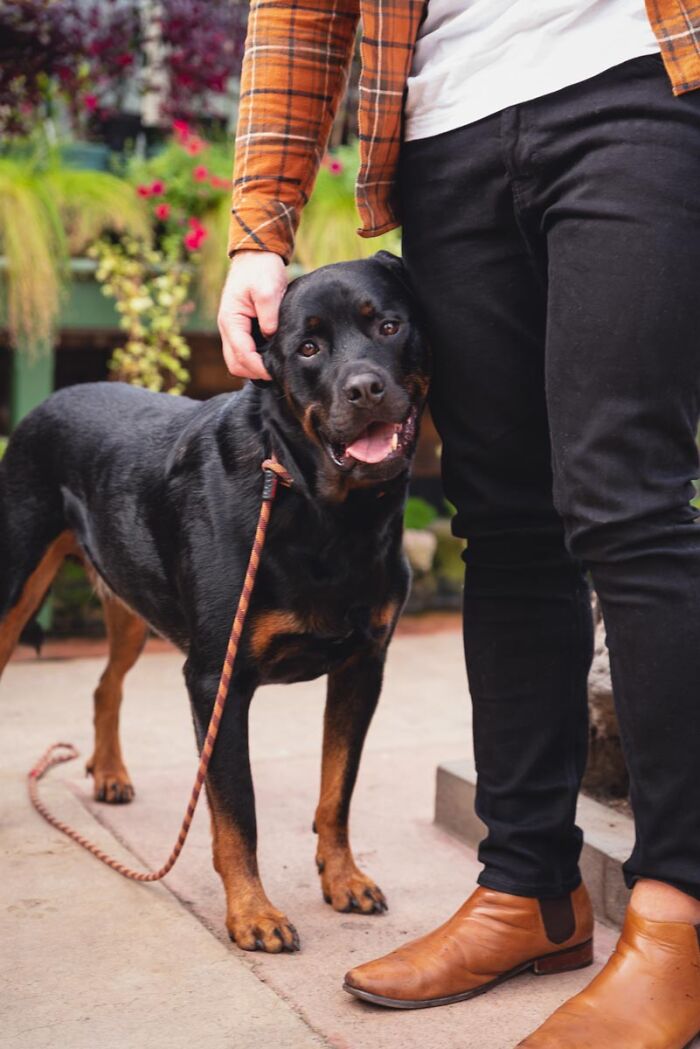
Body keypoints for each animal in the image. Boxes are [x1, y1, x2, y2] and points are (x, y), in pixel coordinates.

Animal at [0, 251, 430, 952]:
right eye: (308, 348)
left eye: (389, 327)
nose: (365, 389)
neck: (319, 506)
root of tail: (52, 398)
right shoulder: (216, 678)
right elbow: (237, 810)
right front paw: (253, 913)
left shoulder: (363, 666)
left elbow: (337, 790)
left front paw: (343, 878)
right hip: (15, 591)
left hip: (131, 601)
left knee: (105, 684)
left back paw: (109, 773)